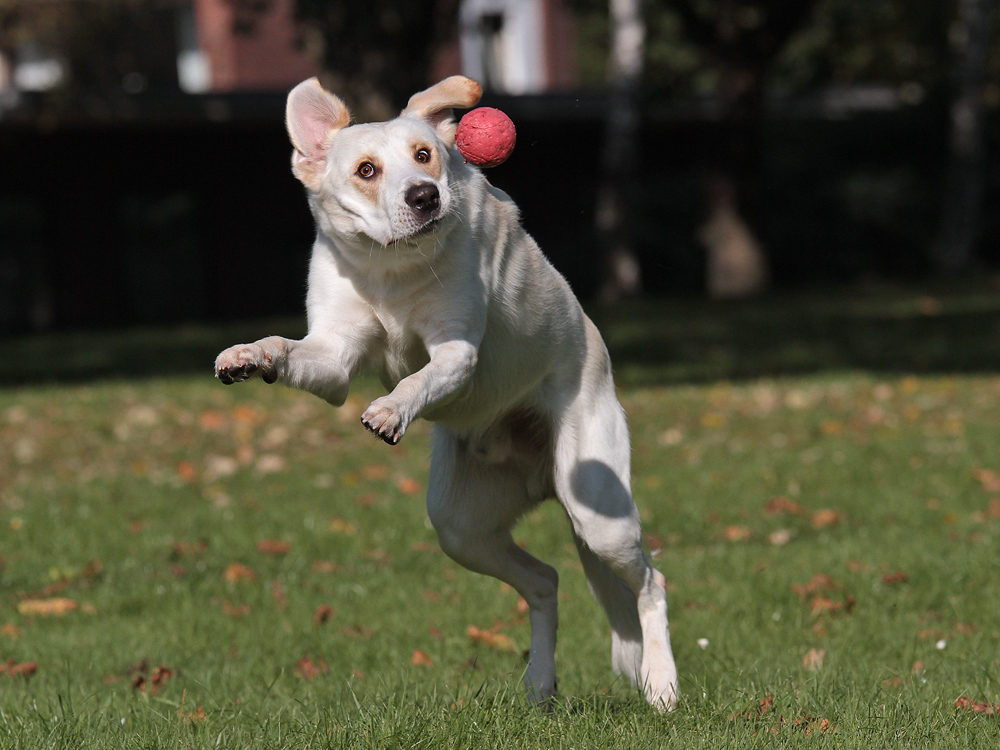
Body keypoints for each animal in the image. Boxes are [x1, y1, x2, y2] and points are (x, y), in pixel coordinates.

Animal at [213, 75, 680, 712]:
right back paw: (540, 686)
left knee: (651, 583)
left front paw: (391, 409)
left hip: (598, 511)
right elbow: (288, 348)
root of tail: (540, 472)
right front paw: (249, 355)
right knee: (546, 581)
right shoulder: (333, 359)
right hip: (460, 528)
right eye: (366, 170)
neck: (392, 269)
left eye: (425, 155)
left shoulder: (456, 352)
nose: (424, 197)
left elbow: (420, 377)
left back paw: (662, 685)